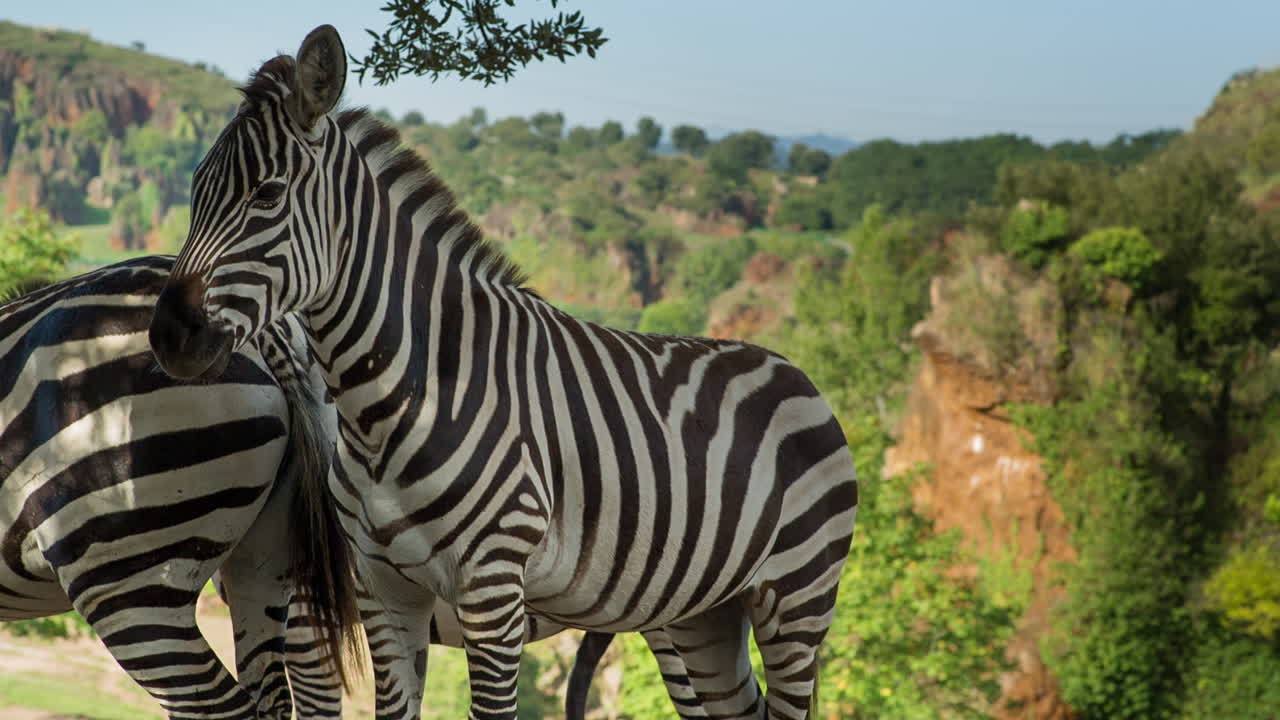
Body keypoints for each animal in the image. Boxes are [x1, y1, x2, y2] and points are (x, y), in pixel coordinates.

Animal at [148, 24, 857, 720]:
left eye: (266, 194)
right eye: (196, 190)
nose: (167, 335)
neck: (390, 405)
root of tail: (793, 371)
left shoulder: (489, 593)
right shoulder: (382, 591)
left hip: (795, 601)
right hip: (702, 612)